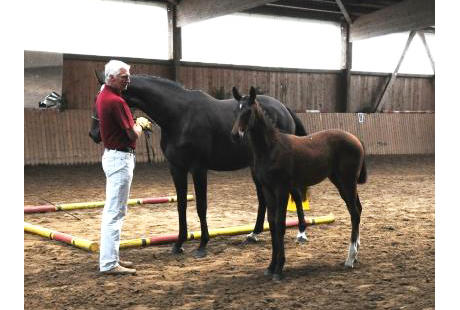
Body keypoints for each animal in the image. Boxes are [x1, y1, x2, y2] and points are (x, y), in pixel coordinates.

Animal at [89, 74, 310, 256]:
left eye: (104, 98)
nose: (94, 134)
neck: (179, 116)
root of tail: (284, 108)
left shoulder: (198, 168)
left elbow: (201, 206)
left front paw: (203, 244)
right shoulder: (176, 168)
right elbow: (181, 205)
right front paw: (178, 244)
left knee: (295, 194)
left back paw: (301, 232)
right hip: (255, 167)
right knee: (263, 199)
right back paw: (253, 234)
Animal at [232, 86, 368, 280]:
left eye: (248, 111)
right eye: (236, 110)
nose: (235, 135)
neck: (271, 148)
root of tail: (356, 139)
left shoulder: (281, 189)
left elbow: (280, 224)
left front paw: (279, 269)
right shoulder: (267, 189)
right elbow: (271, 224)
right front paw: (270, 267)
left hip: (347, 181)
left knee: (354, 213)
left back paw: (349, 258)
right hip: (340, 181)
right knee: (358, 209)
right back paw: (355, 253)